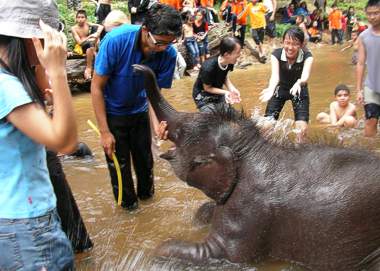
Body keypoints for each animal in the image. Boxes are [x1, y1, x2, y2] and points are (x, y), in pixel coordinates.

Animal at [133, 64, 380, 271]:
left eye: (182, 133)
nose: (136, 68)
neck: (252, 150)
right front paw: (201, 217)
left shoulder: (247, 211)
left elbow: (223, 255)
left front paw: (153, 253)